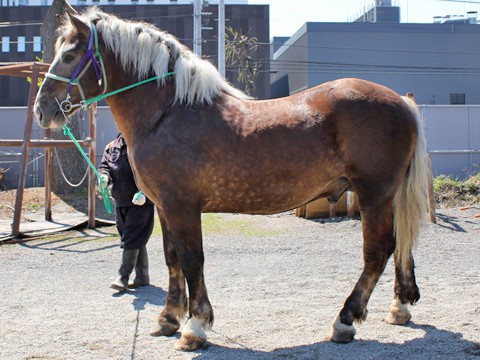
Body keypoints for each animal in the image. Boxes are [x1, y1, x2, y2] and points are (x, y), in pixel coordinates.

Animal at [35, 7, 430, 352]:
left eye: (69, 54)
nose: (42, 109)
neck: (168, 113)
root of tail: (402, 101)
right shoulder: (164, 207)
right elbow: (172, 259)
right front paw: (168, 319)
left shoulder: (182, 207)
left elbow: (192, 259)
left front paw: (195, 327)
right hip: (389, 195)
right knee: (401, 245)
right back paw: (400, 307)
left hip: (374, 195)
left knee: (377, 251)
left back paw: (345, 320)